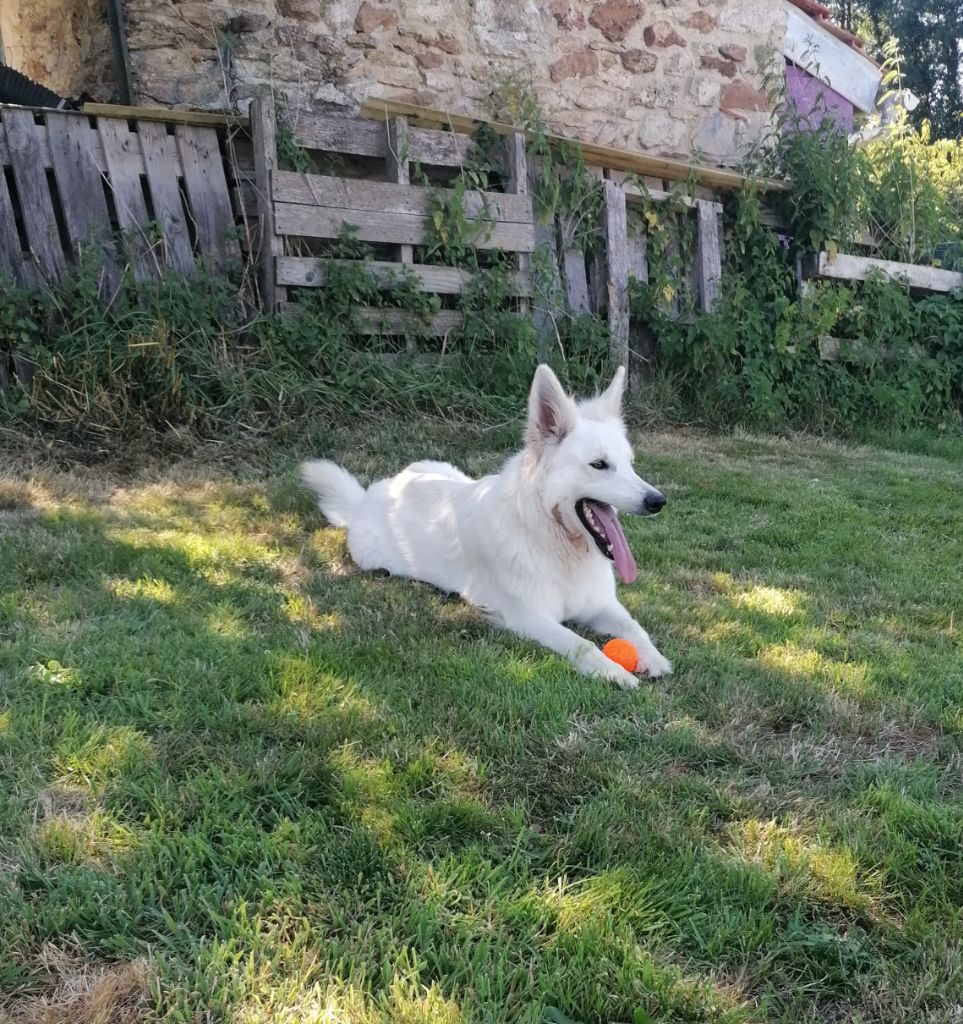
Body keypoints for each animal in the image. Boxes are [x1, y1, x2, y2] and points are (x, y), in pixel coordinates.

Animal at [301, 360, 667, 688]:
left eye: (631, 464)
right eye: (599, 465)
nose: (658, 501)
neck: (554, 544)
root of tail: (367, 496)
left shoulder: (602, 605)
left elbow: (634, 626)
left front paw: (654, 657)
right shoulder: (531, 618)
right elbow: (583, 644)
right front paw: (615, 672)